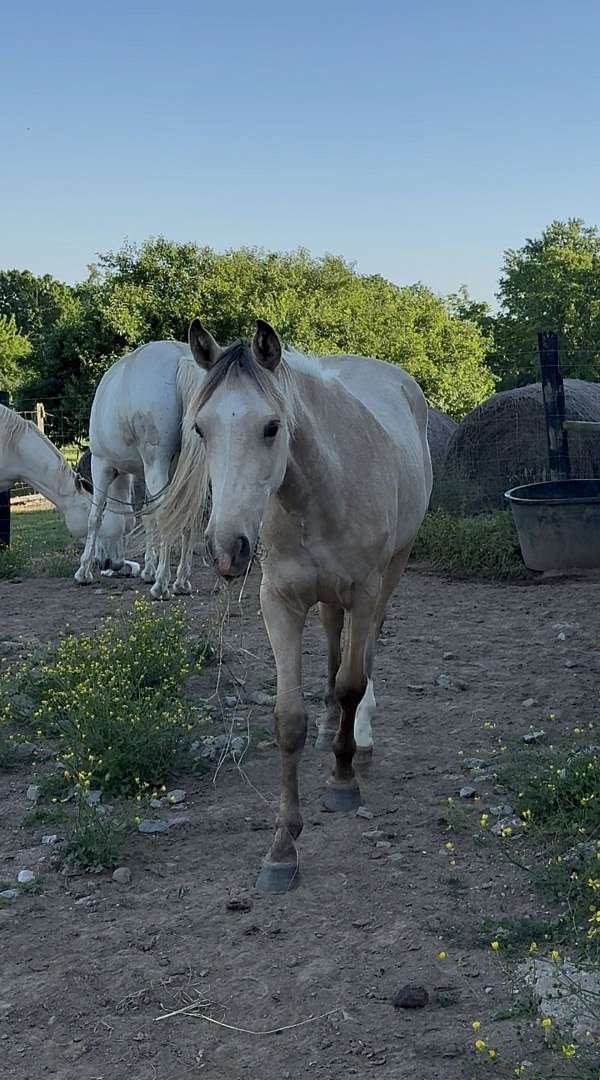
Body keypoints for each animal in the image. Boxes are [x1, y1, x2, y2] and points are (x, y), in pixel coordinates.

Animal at [74, 342, 203, 598]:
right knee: (188, 516)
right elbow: (147, 516)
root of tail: (182, 358)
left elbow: (96, 516)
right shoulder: (142, 474)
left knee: (168, 515)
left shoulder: (102, 465)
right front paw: (148, 570)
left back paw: (161, 585)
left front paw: (84, 572)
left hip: (156, 465)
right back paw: (181, 582)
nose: (107, 563)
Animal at [159, 318, 433, 892]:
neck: (320, 492)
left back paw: (358, 738)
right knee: (332, 644)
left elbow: (351, 683)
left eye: (270, 427)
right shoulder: (280, 603)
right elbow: (289, 720)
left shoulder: (365, 591)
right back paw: (334, 731)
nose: (226, 549)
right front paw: (282, 847)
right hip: (327, 599)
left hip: (391, 573)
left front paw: (343, 780)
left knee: (363, 656)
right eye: (201, 429)